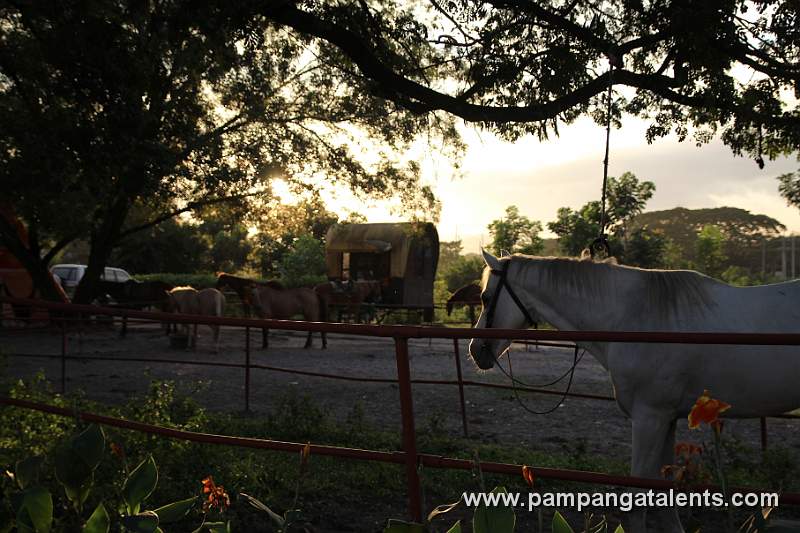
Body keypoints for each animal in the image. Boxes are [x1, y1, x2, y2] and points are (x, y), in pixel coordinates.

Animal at [469, 250, 800, 533]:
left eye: (485, 297)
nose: (475, 350)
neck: (634, 316)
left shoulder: (648, 419)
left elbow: (637, 503)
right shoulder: (667, 420)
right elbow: (665, 498)